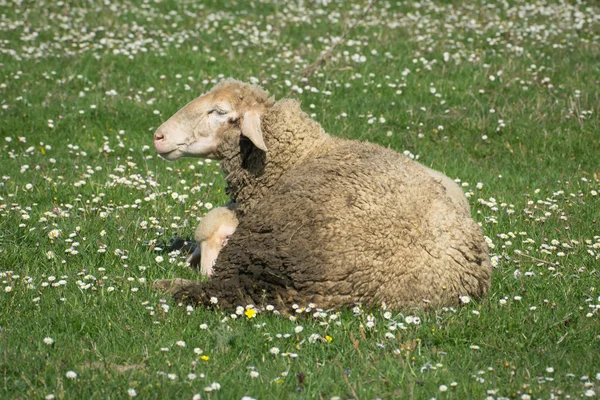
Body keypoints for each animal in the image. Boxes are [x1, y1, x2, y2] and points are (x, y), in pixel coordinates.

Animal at [151, 77, 492, 310]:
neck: (301, 154)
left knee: (221, 290)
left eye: (219, 111)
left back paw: (166, 285)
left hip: (265, 250)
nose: (158, 136)